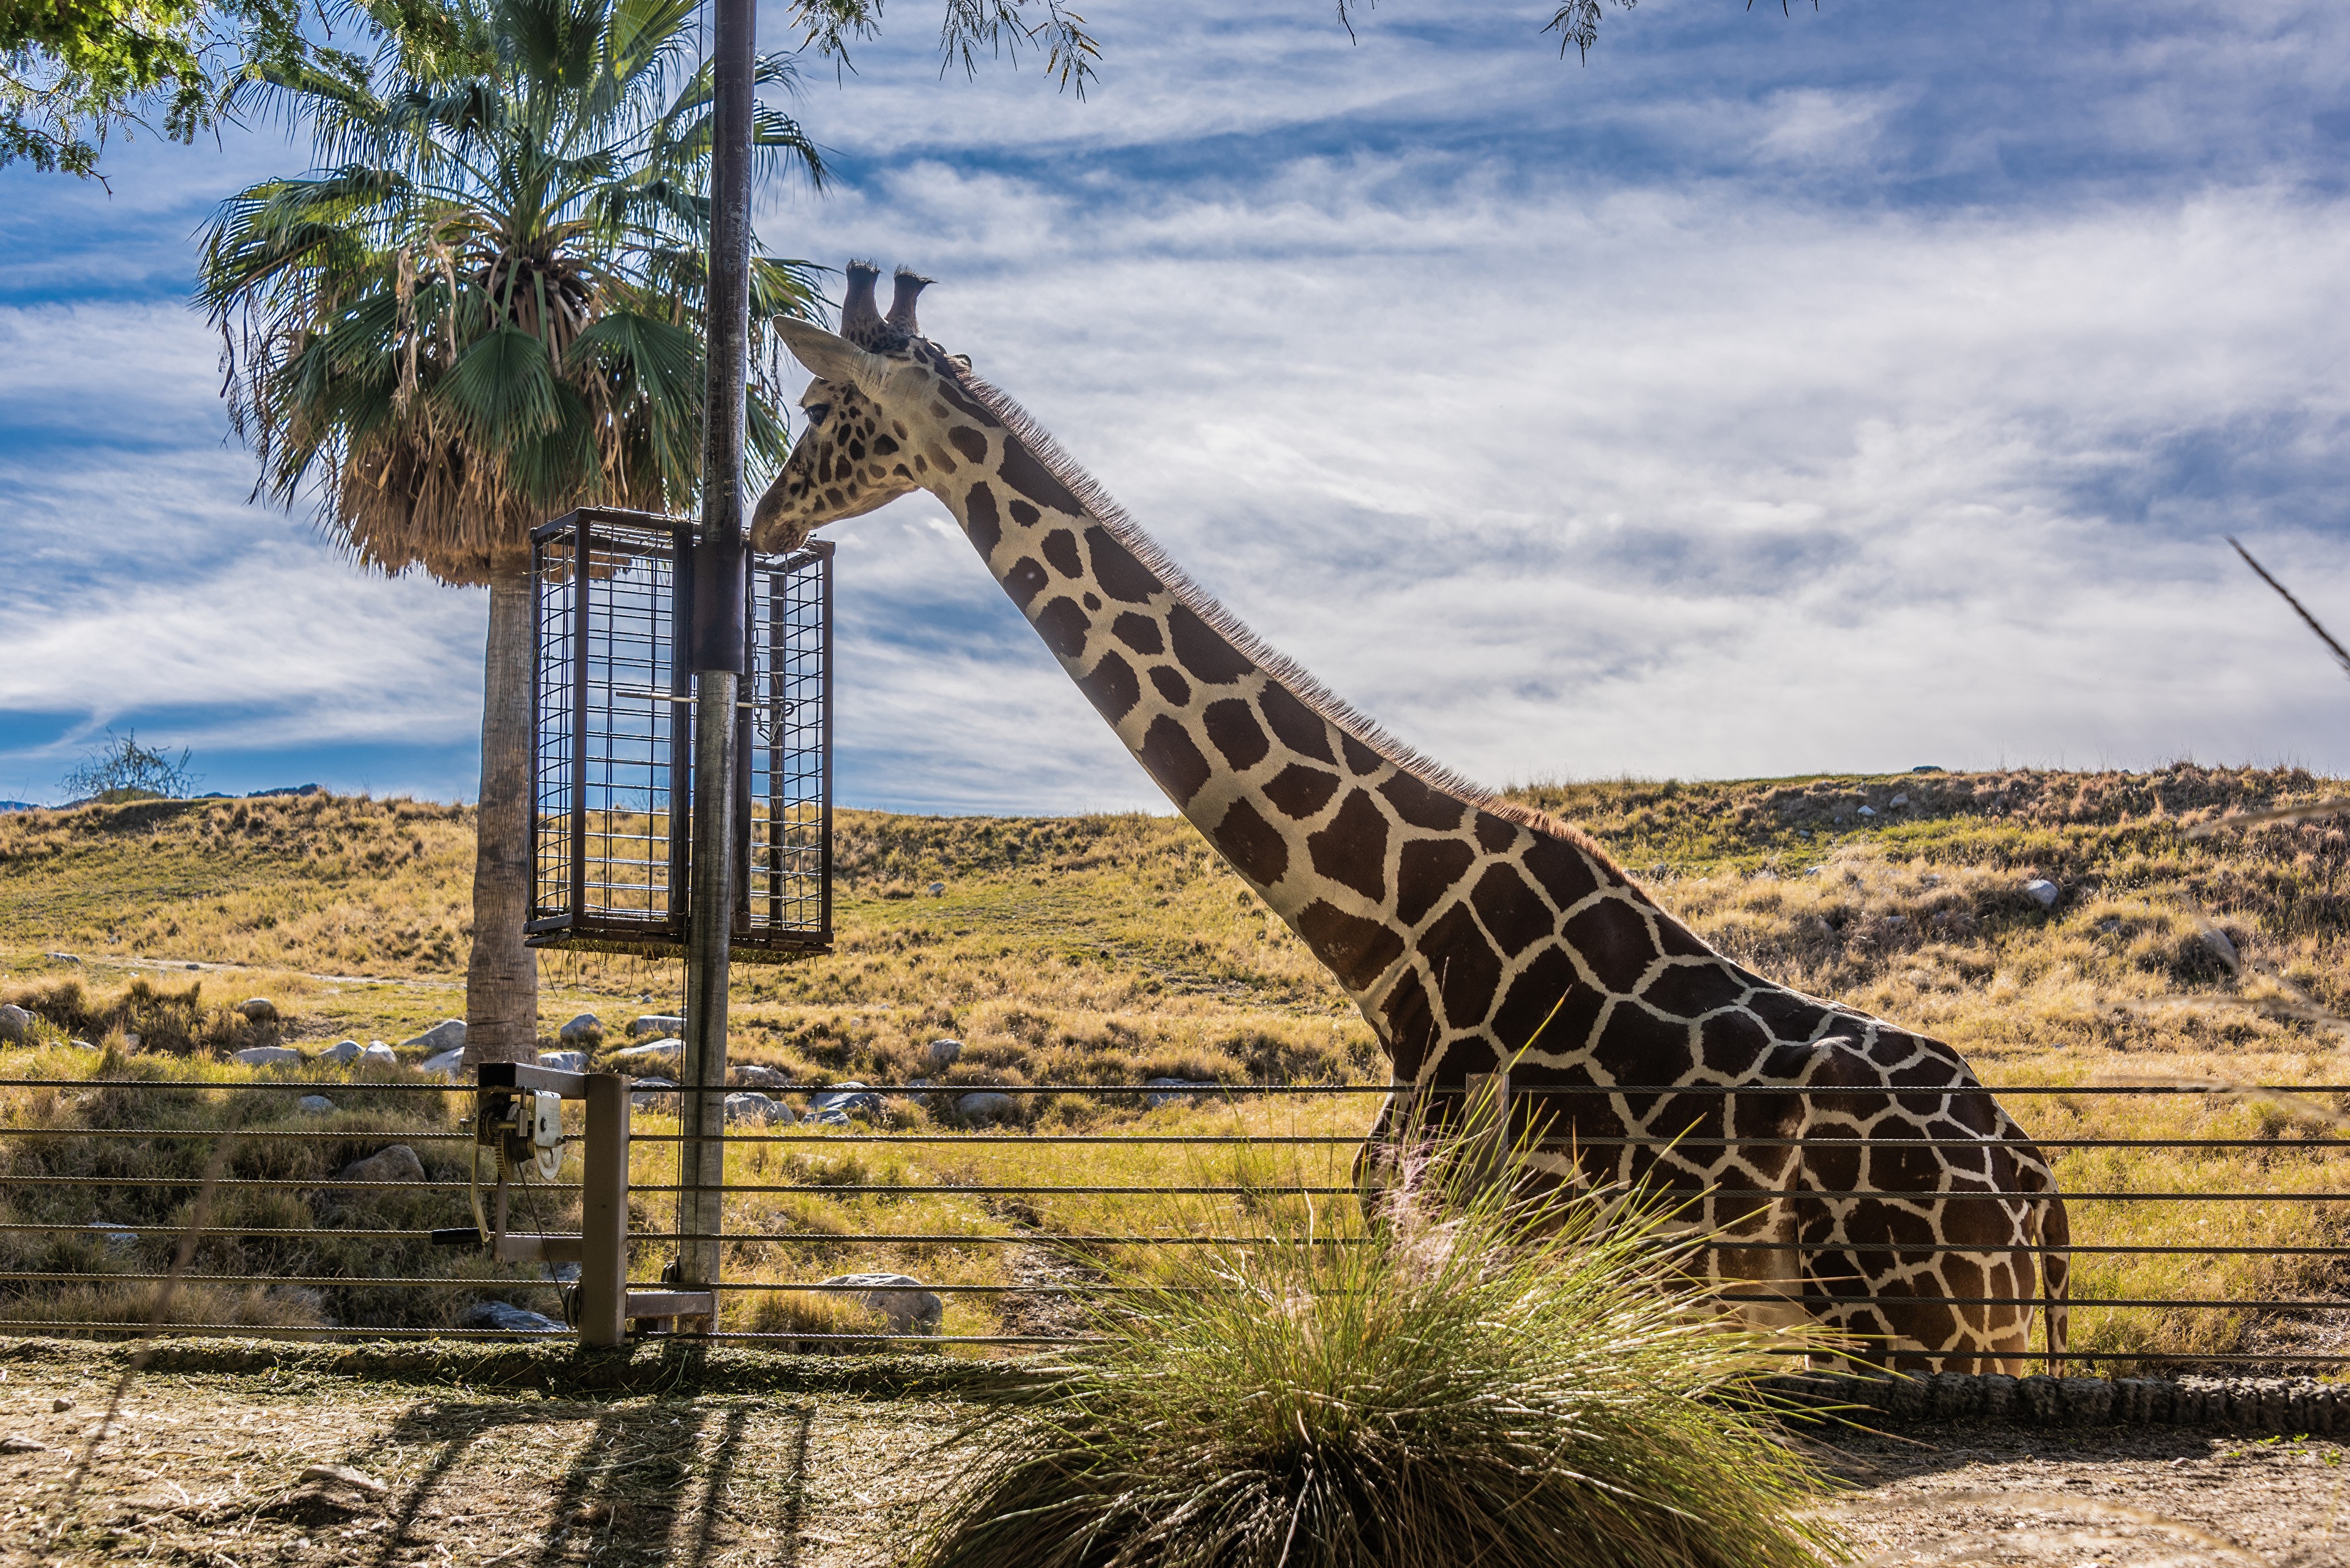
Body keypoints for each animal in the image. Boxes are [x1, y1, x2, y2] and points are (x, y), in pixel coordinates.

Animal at [749, 263, 2072, 1373]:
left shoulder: (1467, 1234)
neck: (1395, 948)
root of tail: (2039, 1195)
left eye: (818, 407)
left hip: (1922, 1331)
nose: (765, 519)